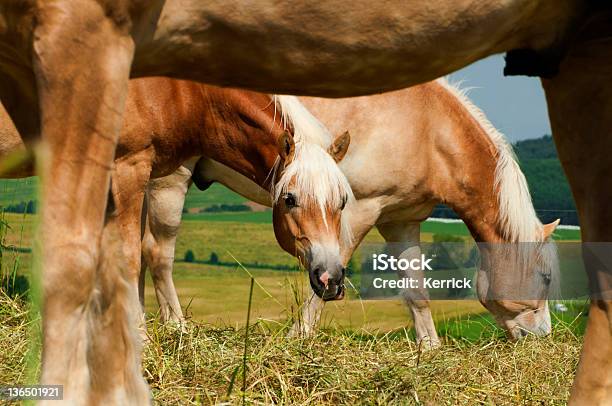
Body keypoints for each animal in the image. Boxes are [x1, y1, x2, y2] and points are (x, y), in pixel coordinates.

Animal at [142, 79, 560, 346]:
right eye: (545, 278)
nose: (543, 336)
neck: (428, 128)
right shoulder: (360, 211)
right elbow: (331, 272)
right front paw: (297, 338)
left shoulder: (401, 221)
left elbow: (417, 291)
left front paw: (429, 350)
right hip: (169, 180)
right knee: (158, 253)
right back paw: (174, 329)